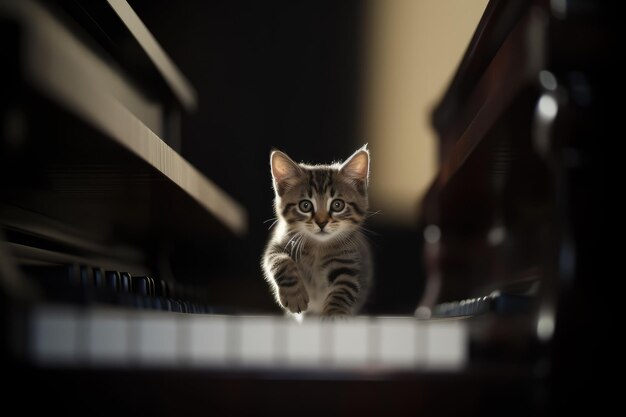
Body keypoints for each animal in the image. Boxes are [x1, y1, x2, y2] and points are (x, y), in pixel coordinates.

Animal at [260, 145, 370, 316]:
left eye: (337, 205)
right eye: (305, 205)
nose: (321, 222)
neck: (318, 247)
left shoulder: (348, 262)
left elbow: (343, 289)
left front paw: (334, 314)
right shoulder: (278, 244)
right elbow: (279, 261)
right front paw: (295, 296)